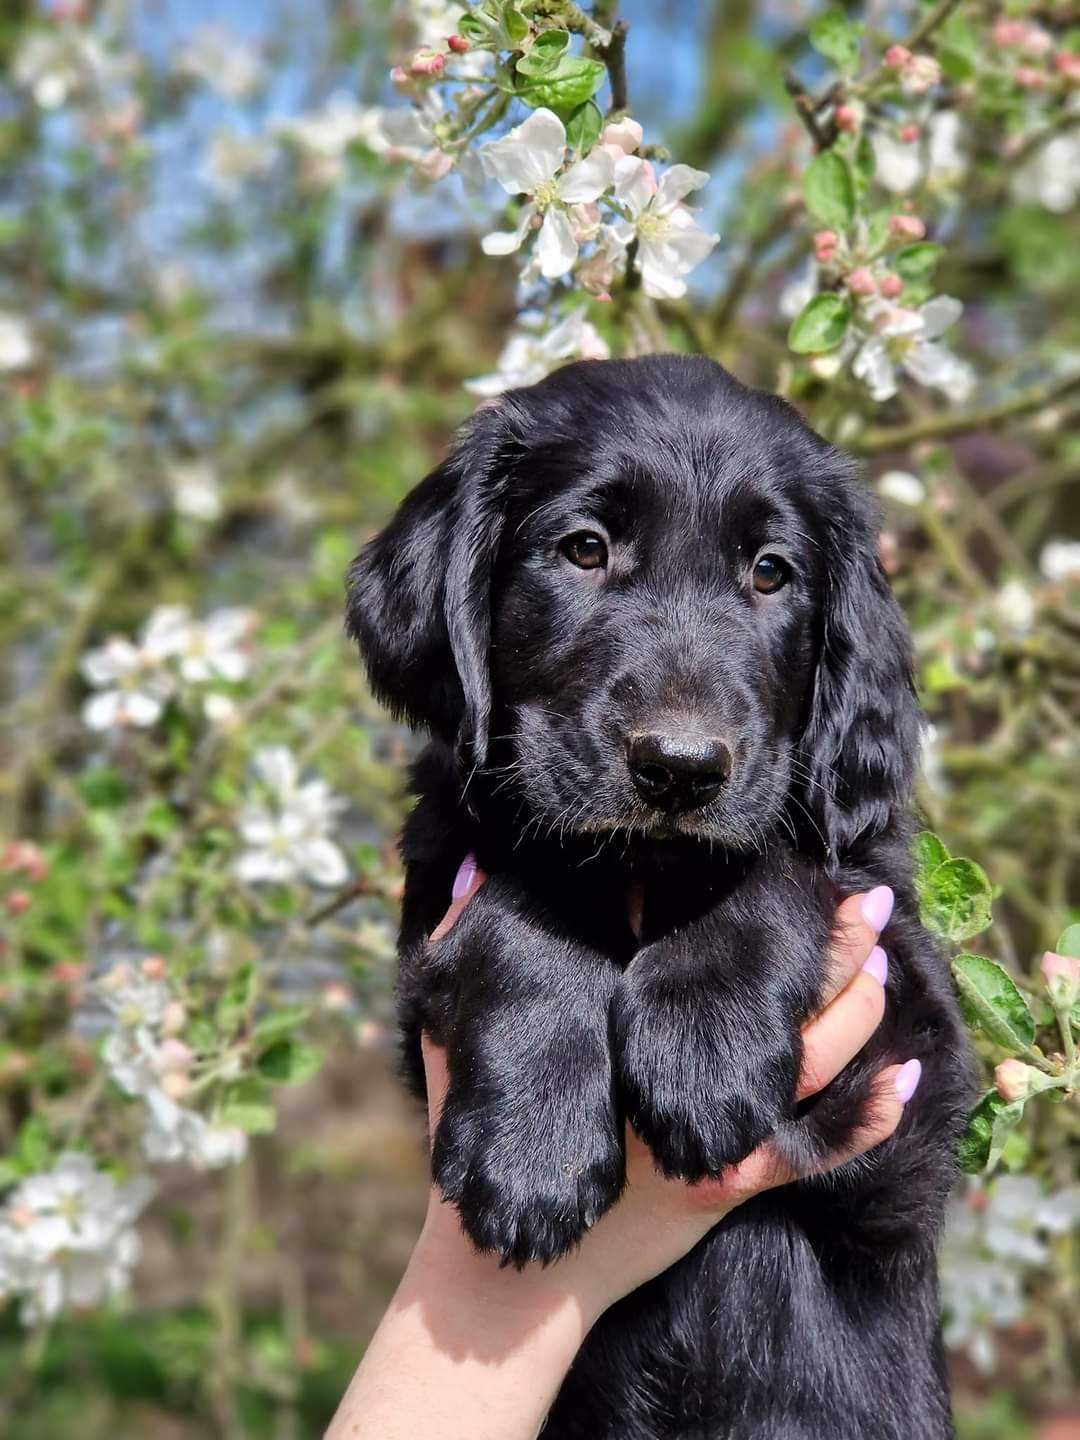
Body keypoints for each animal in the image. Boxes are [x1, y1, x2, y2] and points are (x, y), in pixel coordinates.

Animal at [347, 357, 973, 1440]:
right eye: (584, 550)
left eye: (771, 572)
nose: (680, 770)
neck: (644, 869)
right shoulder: (441, 893)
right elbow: (520, 908)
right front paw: (536, 1148)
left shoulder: (906, 1081)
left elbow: (782, 864)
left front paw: (701, 1047)